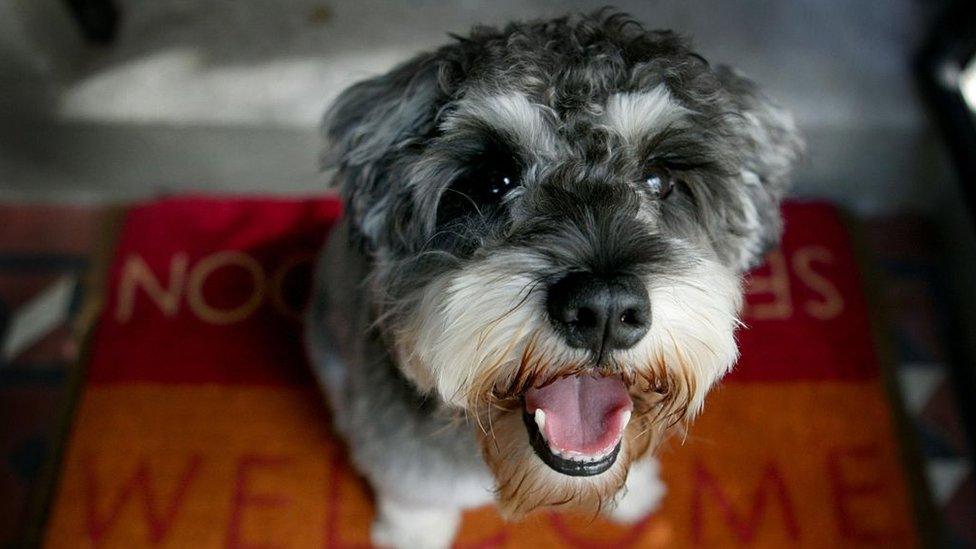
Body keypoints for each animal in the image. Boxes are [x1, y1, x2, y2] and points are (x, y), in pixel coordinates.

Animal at [304, 9, 800, 548]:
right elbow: (415, 500)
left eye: (660, 179)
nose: (603, 309)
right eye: (493, 180)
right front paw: (413, 534)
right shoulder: (403, 461)